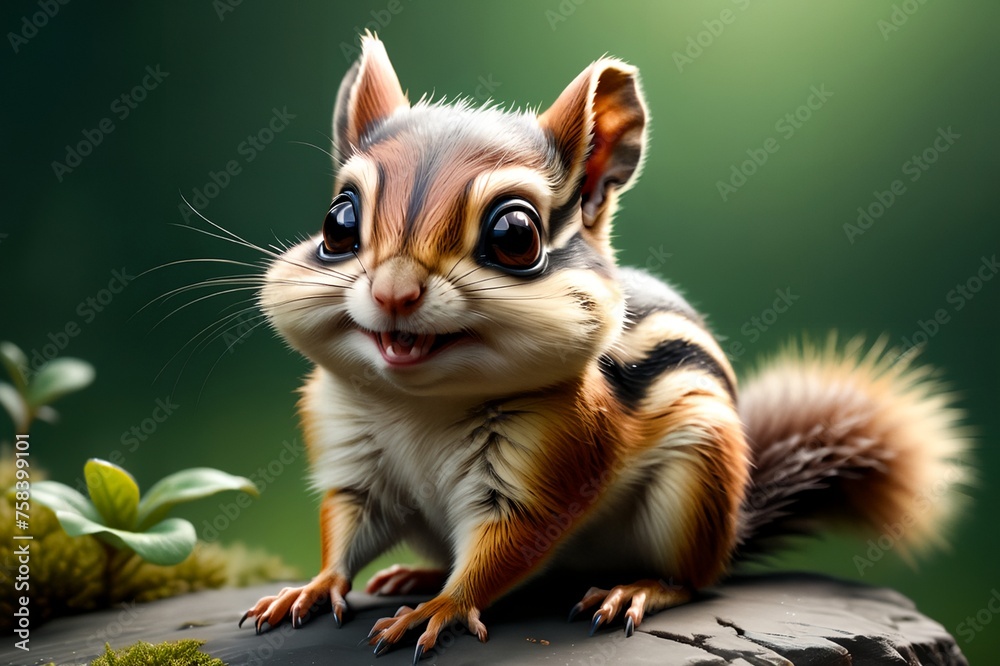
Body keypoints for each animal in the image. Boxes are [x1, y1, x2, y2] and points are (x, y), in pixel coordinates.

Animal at [240, 34, 967, 662]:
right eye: (337, 222)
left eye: (514, 237)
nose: (393, 293)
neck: (420, 406)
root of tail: (733, 529)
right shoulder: (353, 456)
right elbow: (344, 527)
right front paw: (312, 589)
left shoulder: (548, 462)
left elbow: (506, 546)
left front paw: (441, 610)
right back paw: (415, 574)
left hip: (696, 482)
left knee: (692, 581)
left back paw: (633, 590)